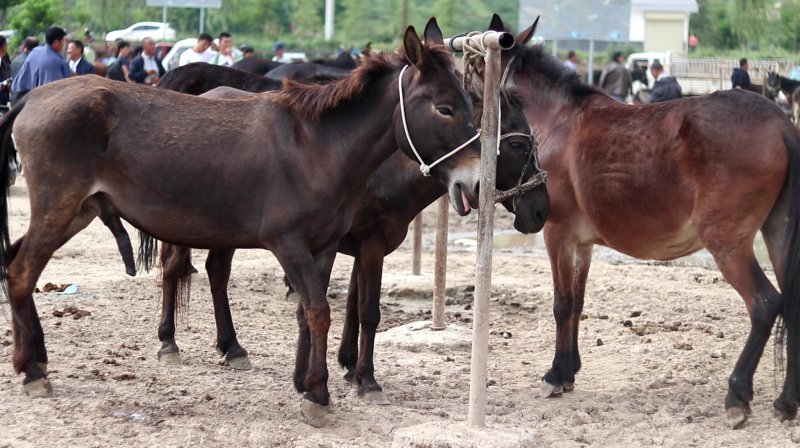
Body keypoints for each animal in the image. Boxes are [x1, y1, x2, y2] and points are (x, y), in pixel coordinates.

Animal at [0, 19, 484, 426]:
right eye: (445, 109)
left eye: (471, 104)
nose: (477, 182)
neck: (318, 146)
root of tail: (32, 96)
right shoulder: (291, 243)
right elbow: (320, 311)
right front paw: (319, 394)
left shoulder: (325, 245)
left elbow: (310, 312)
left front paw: (306, 382)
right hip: (60, 207)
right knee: (22, 271)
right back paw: (34, 370)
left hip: (77, 210)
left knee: (17, 265)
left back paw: (34, 357)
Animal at [155, 87, 551, 403]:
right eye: (516, 144)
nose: (541, 210)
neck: (387, 169)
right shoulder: (370, 246)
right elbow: (369, 311)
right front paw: (366, 378)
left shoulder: (360, 249)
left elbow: (350, 306)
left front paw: (344, 365)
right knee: (174, 269)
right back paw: (169, 341)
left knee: (216, 273)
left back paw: (231, 347)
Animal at [482, 15, 800, 428]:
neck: (558, 121)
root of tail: (781, 123)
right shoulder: (583, 244)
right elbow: (578, 302)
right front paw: (569, 370)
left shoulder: (558, 234)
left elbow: (562, 303)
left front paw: (555, 374)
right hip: (778, 234)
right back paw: (787, 402)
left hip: (728, 241)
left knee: (764, 303)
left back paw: (738, 395)